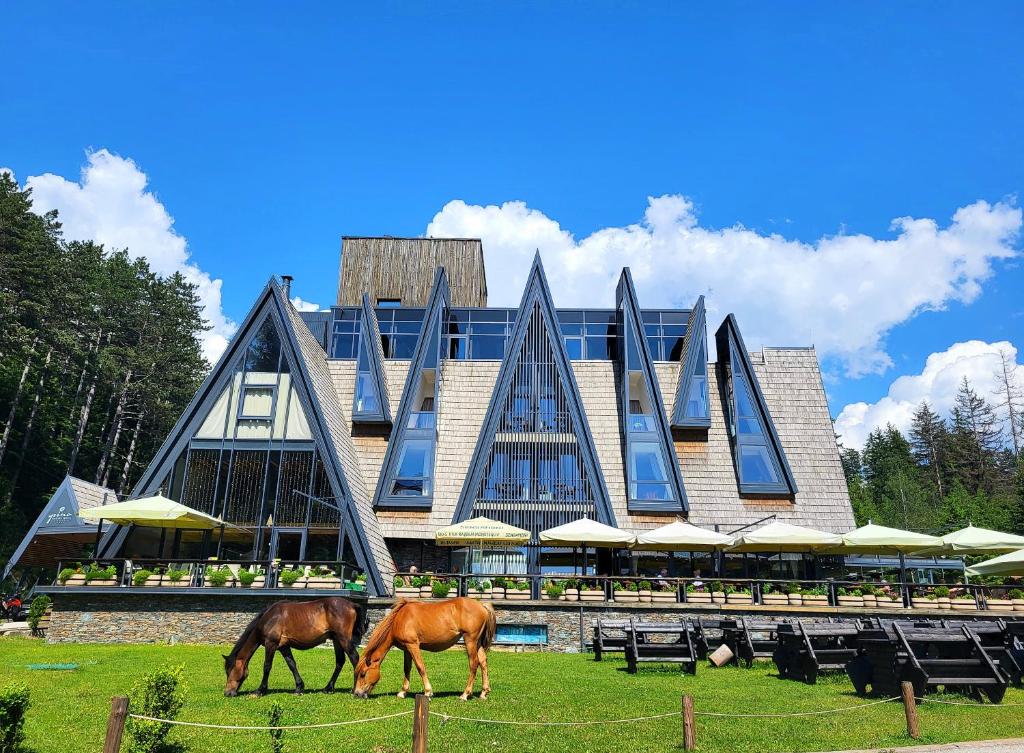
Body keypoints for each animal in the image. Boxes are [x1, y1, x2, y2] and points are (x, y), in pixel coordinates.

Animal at [224, 598, 364, 696]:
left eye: (229, 671)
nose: (227, 693)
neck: (270, 617)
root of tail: (352, 604)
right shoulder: (283, 647)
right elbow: (292, 664)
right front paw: (299, 688)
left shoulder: (271, 644)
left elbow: (267, 666)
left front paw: (260, 690)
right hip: (336, 640)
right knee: (340, 661)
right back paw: (328, 688)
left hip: (343, 639)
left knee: (355, 658)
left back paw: (355, 689)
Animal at [352, 602, 495, 700]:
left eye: (363, 674)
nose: (357, 693)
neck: (399, 619)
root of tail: (482, 605)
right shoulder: (407, 649)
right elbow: (407, 669)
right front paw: (403, 692)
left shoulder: (413, 645)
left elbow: (420, 667)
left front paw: (427, 691)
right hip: (477, 643)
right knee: (483, 662)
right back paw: (484, 692)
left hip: (470, 640)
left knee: (474, 664)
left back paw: (465, 694)